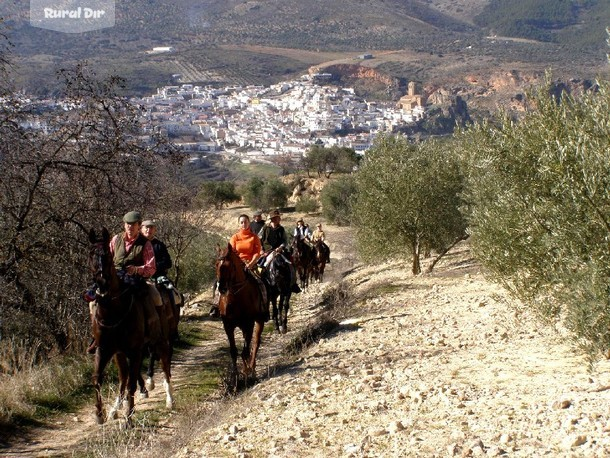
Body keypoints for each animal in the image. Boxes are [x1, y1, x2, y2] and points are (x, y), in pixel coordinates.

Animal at [85, 229, 172, 426]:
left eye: (108, 255)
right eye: (91, 254)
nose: (101, 283)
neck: (113, 312)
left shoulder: (135, 350)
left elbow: (132, 381)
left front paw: (128, 417)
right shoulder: (105, 349)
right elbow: (97, 379)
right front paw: (100, 414)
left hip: (159, 341)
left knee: (165, 365)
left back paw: (170, 399)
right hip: (119, 353)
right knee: (123, 377)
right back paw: (114, 409)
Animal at [216, 245, 266, 378]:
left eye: (227, 266)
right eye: (216, 264)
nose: (221, 288)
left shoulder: (249, 324)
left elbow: (246, 351)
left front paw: (248, 371)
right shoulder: (228, 326)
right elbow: (234, 351)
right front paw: (235, 375)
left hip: (259, 321)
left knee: (255, 343)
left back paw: (251, 368)